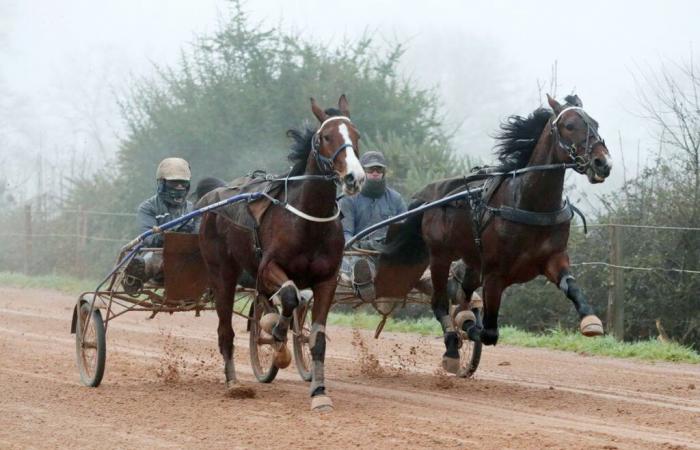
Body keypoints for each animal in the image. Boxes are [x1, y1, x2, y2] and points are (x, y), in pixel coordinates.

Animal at [196, 95, 360, 412]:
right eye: (325, 137)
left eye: (356, 134)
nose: (354, 177)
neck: (308, 220)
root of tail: (213, 197)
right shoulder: (267, 267)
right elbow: (288, 296)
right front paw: (277, 336)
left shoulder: (327, 280)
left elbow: (316, 336)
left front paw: (319, 392)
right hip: (223, 273)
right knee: (226, 331)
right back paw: (234, 382)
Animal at [374, 94, 608, 372]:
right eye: (570, 126)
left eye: (595, 123)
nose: (602, 163)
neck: (528, 203)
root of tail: (430, 196)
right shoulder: (495, 274)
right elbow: (488, 333)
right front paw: (466, 327)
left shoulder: (553, 258)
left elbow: (571, 286)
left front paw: (591, 320)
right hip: (440, 256)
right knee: (440, 303)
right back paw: (452, 347)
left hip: (473, 261)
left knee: (462, 289)